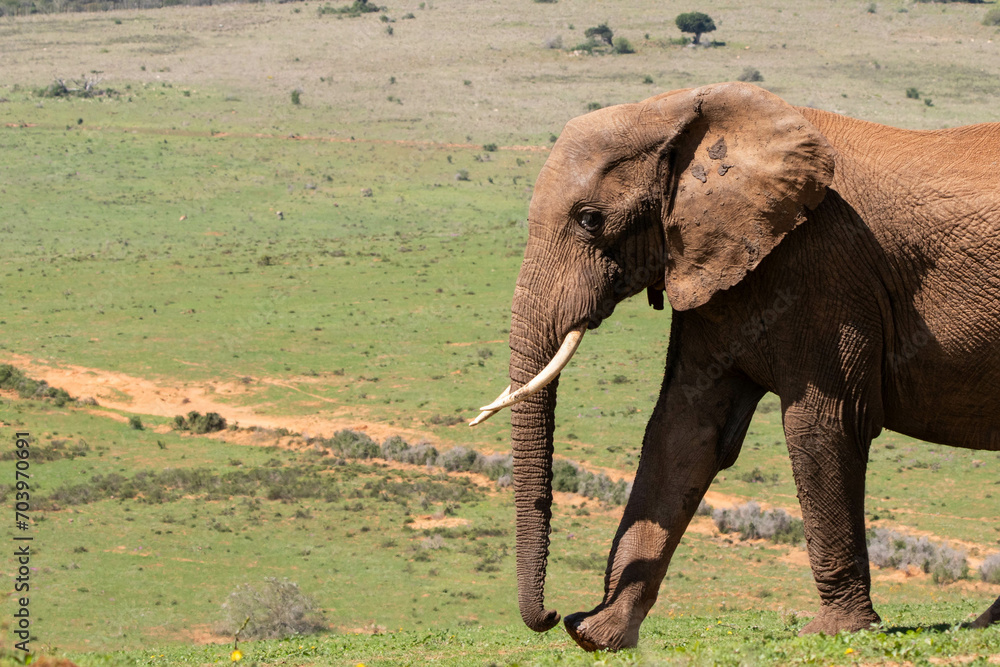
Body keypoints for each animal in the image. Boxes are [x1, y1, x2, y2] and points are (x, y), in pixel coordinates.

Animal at [469, 82, 1000, 651]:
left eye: (590, 219)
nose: (554, 615)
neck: (680, 109)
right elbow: (683, 430)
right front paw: (600, 635)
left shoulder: (826, 268)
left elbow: (822, 424)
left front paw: (836, 631)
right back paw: (985, 624)